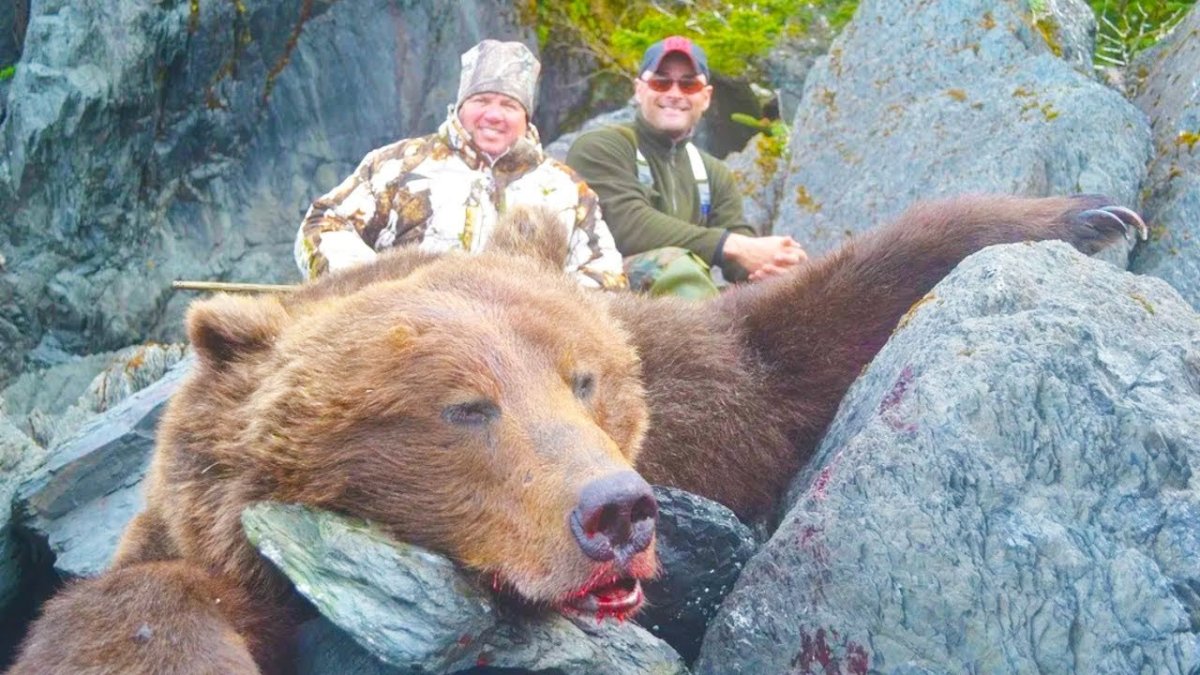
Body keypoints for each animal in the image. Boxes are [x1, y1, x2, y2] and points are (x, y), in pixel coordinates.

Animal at [6, 194, 1144, 674]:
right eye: (463, 407)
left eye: (584, 380)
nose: (616, 511)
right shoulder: (193, 556)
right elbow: (133, 618)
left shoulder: (693, 392)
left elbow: (785, 347)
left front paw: (1089, 217)